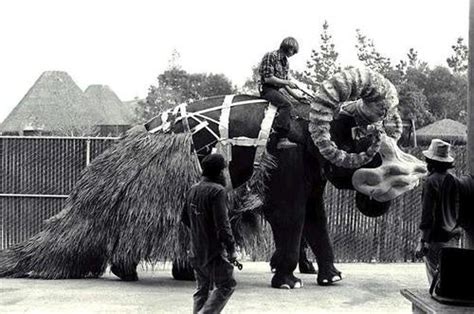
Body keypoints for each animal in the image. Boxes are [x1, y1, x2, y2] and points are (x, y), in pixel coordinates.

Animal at [0, 68, 426, 290]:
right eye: (367, 135)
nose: (416, 172)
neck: (308, 121)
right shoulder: (285, 166)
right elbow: (290, 219)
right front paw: (288, 280)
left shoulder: (309, 172)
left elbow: (317, 220)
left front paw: (332, 277)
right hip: (153, 192)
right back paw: (129, 272)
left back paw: (184, 272)